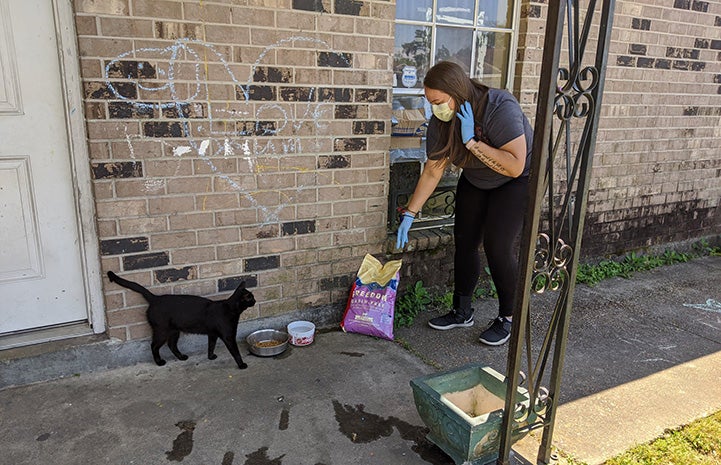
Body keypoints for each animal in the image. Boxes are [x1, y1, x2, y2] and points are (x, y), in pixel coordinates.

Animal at [105, 270, 255, 368]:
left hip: (174, 331)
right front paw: (242, 364)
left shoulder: (212, 334)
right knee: (154, 345)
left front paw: (211, 357)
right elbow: (236, 352)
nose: (255, 300)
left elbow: (211, 346)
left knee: (171, 345)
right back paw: (159, 362)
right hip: (162, 331)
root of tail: (155, 298)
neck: (230, 309)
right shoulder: (228, 336)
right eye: (250, 298)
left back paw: (181, 357)